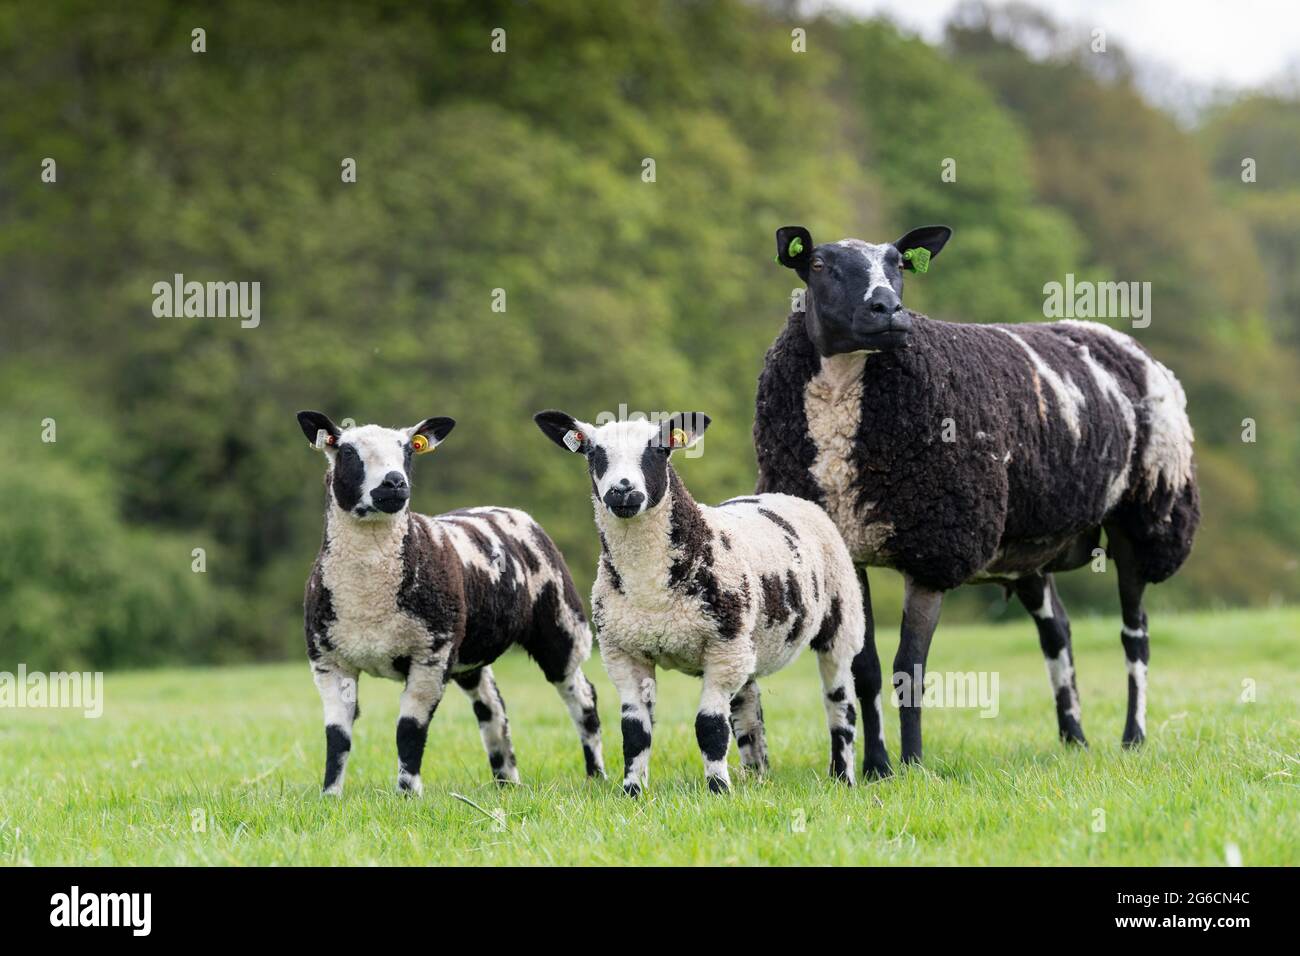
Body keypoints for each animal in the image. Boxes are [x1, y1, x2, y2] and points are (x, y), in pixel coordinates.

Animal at [295, 413, 603, 801]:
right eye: (348, 452)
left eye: (408, 451)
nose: (394, 482)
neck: (369, 599)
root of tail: (512, 512)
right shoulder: (328, 660)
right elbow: (337, 736)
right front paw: (330, 796)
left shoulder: (432, 652)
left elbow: (409, 730)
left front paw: (407, 794)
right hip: (469, 652)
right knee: (492, 708)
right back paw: (507, 781)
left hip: (560, 623)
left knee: (583, 697)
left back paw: (596, 775)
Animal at [533, 408, 868, 796]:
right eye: (593, 453)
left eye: (659, 450)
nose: (623, 490)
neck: (651, 592)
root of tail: (787, 496)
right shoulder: (623, 653)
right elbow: (634, 732)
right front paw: (631, 791)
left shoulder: (723, 648)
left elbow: (709, 726)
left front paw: (718, 789)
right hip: (747, 642)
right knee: (749, 712)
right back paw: (756, 775)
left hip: (840, 620)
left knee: (840, 705)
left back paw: (843, 776)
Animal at [759, 227, 1201, 775]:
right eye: (819, 264)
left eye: (899, 263)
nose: (888, 309)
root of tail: (1120, 338)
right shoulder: (850, 547)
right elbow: (868, 668)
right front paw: (877, 767)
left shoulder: (937, 548)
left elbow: (910, 667)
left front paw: (912, 765)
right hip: (1029, 546)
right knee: (1058, 634)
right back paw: (1073, 738)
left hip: (1144, 515)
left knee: (1134, 635)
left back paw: (1132, 736)